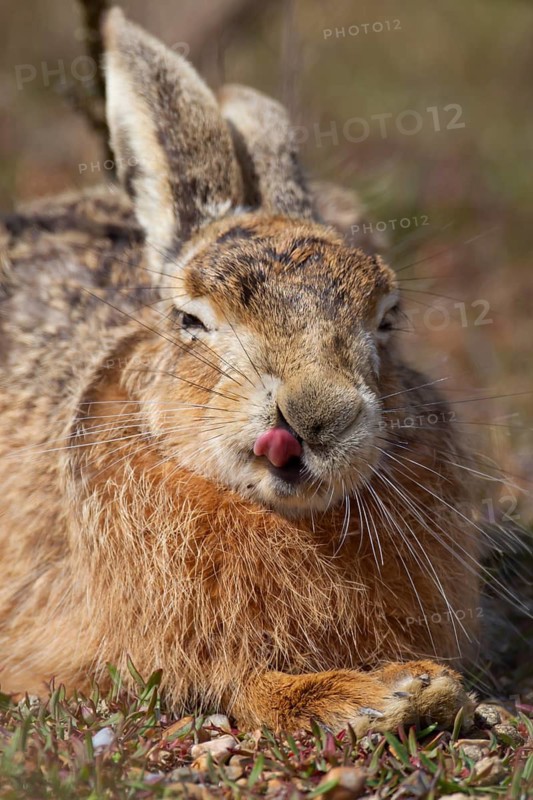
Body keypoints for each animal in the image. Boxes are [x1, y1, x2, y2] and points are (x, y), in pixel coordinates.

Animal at [0, 7, 483, 734]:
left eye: (387, 319)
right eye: (190, 320)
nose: (314, 414)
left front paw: (421, 688)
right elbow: (243, 686)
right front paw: (376, 695)